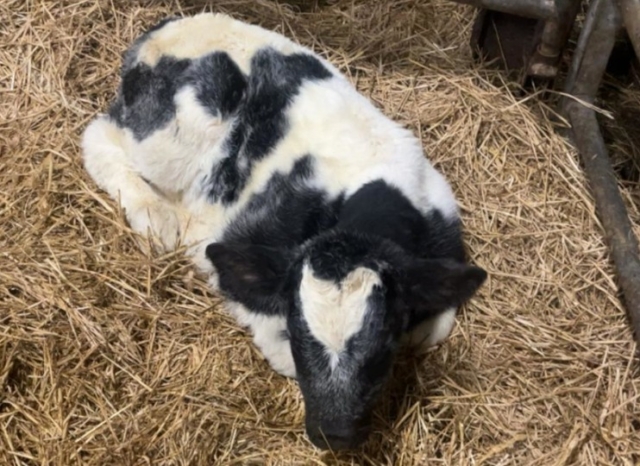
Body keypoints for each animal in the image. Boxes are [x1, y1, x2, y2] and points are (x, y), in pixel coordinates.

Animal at [82, 13, 488, 452]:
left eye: (383, 343)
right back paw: (154, 214)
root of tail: (163, 28)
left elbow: (436, 326)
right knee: (98, 137)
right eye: (298, 330)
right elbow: (274, 343)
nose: (332, 434)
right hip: (167, 141)